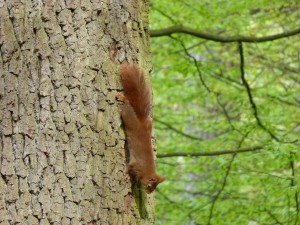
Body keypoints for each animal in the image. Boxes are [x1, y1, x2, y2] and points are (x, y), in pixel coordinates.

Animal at [116, 62, 165, 193]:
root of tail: (141, 118)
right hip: (128, 116)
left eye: (154, 188)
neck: (147, 172)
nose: (148, 192)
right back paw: (121, 97)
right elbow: (129, 169)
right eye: (149, 185)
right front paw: (126, 176)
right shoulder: (136, 165)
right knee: (127, 104)